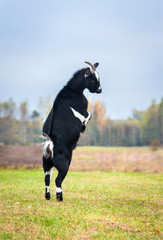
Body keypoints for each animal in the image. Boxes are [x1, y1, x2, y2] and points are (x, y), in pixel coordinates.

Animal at [42, 61, 102, 201]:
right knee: (58, 180)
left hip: (47, 164)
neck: (73, 91)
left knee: (47, 179)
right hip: (64, 164)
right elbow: (89, 115)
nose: (100, 90)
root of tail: (50, 144)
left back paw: (48, 196)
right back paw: (60, 197)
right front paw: (83, 128)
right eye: (93, 79)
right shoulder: (83, 113)